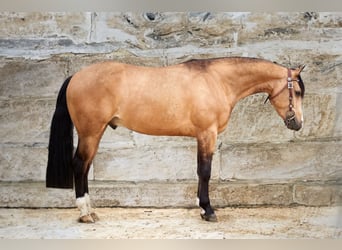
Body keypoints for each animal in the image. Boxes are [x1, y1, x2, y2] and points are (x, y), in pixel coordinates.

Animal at [45, 56, 304, 223]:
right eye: (298, 92)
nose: (298, 123)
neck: (217, 80)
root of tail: (76, 76)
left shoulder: (202, 136)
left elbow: (200, 170)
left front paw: (202, 208)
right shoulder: (207, 133)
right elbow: (205, 171)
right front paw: (208, 210)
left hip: (94, 134)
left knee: (85, 167)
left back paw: (91, 211)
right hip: (90, 132)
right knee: (80, 165)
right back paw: (84, 213)